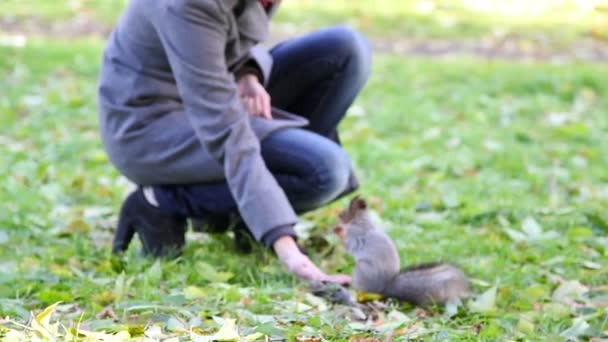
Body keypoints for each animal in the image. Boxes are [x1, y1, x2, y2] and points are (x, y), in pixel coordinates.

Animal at [332, 196, 470, 306]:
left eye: (342, 214)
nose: (337, 216)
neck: (360, 221)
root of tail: (384, 287)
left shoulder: (355, 235)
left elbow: (348, 244)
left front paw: (338, 231)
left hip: (361, 270)